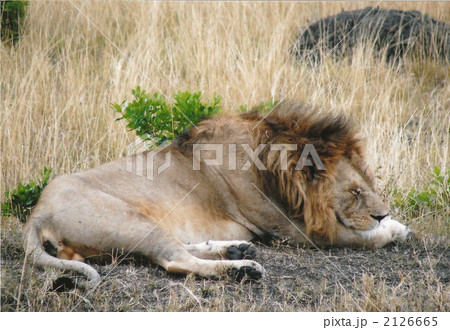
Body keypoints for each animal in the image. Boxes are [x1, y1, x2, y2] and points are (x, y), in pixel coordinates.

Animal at [23, 101, 412, 286]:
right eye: (355, 191)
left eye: (370, 184)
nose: (381, 212)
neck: (269, 161)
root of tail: (36, 212)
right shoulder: (293, 231)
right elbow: (358, 237)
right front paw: (393, 229)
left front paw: (393, 223)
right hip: (131, 221)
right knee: (176, 259)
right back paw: (243, 268)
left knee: (181, 248)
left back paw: (235, 249)